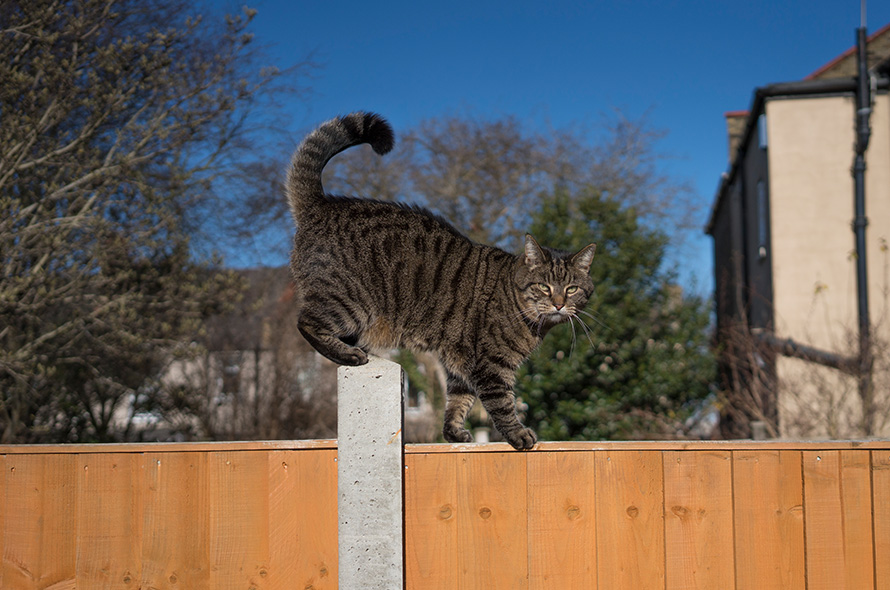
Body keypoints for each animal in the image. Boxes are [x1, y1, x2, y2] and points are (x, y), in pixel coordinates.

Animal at [288, 112, 592, 454]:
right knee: (307, 323)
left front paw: (454, 432)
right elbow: (501, 403)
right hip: (350, 302)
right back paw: (349, 354)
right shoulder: (491, 365)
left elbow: (458, 400)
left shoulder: (460, 363)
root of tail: (321, 204)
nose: (559, 303)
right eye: (544, 287)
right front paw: (518, 433)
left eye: (572, 289)